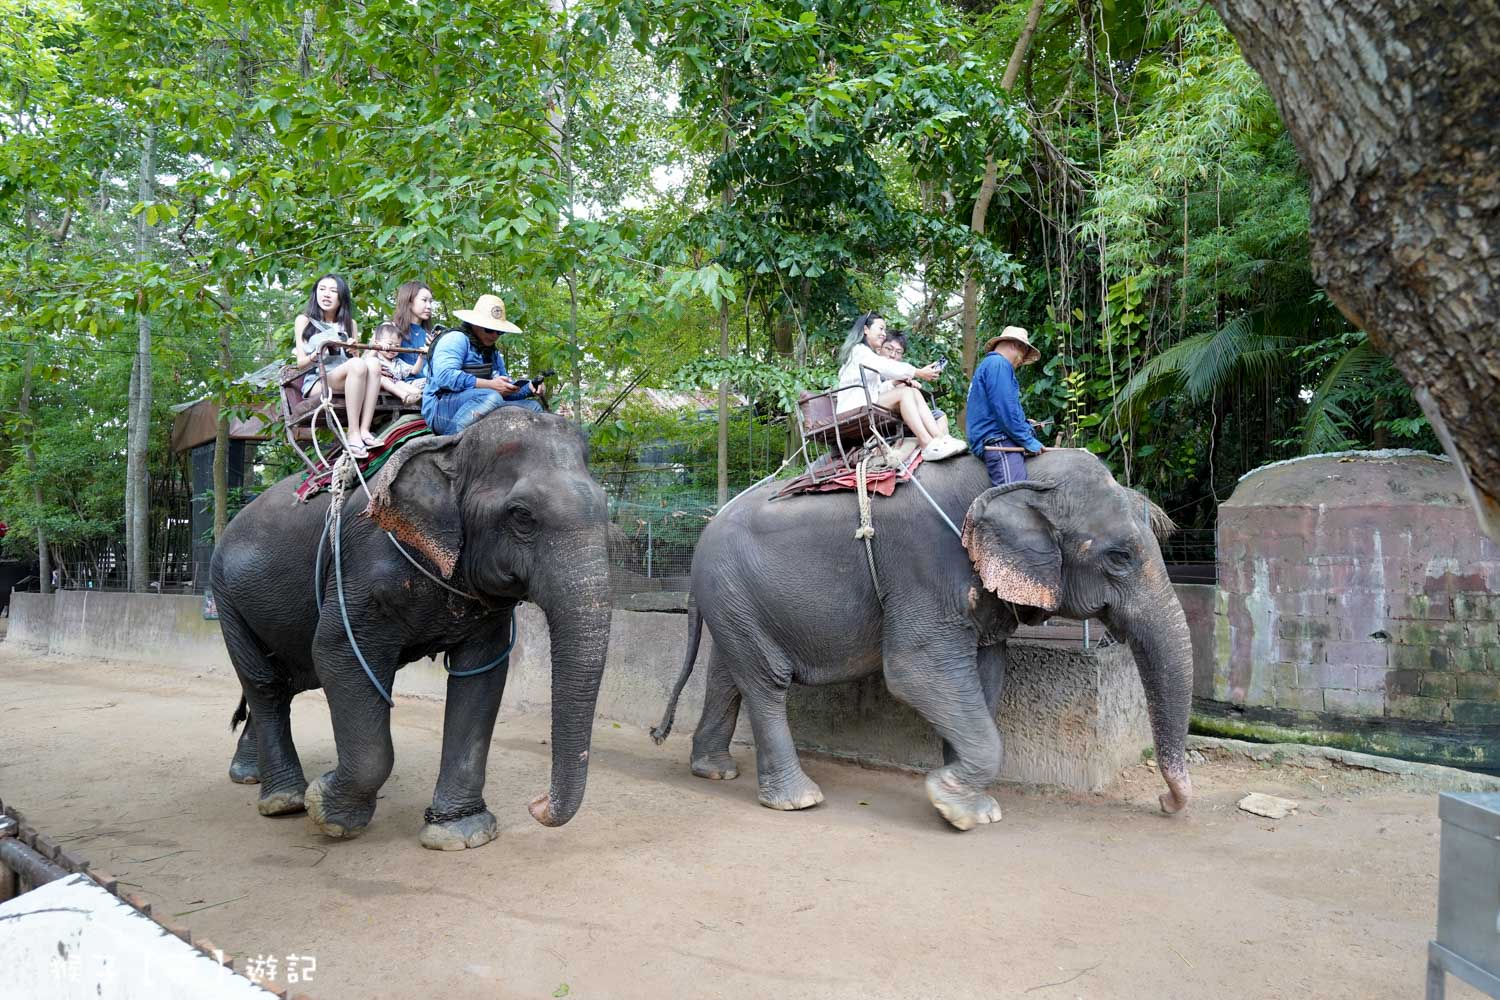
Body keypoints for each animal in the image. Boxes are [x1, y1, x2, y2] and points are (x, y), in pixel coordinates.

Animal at [651, 449, 1188, 833]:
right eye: (1120, 557)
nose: (1166, 803)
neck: (1021, 469)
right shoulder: (927, 564)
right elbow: (916, 671)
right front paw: (954, 805)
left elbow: (986, 673)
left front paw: (971, 803)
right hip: (733, 591)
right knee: (766, 681)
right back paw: (798, 800)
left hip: (734, 600)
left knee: (729, 672)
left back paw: (714, 771)